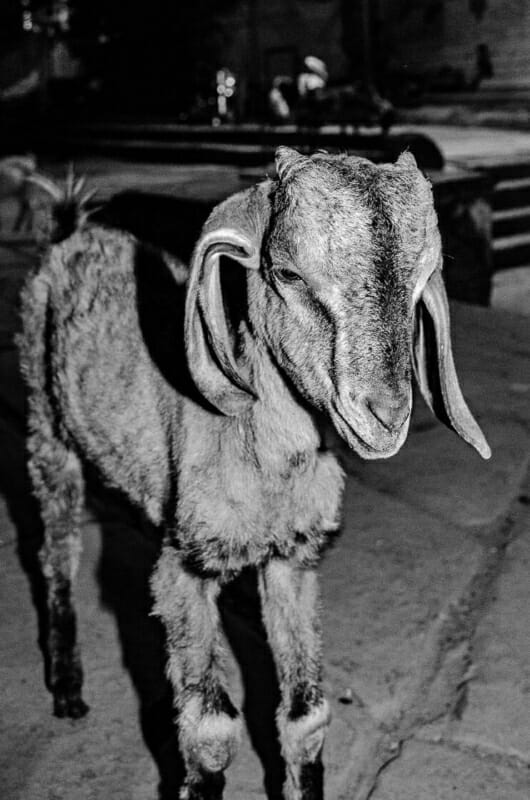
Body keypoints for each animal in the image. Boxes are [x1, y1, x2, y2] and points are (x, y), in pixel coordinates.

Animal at [18, 147, 490, 800]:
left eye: (422, 284)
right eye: (288, 274)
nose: (387, 415)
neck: (262, 458)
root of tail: (73, 233)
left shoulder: (293, 559)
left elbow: (305, 715)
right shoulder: (184, 569)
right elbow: (211, 730)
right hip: (46, 425)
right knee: (56, 551)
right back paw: (67, 690)